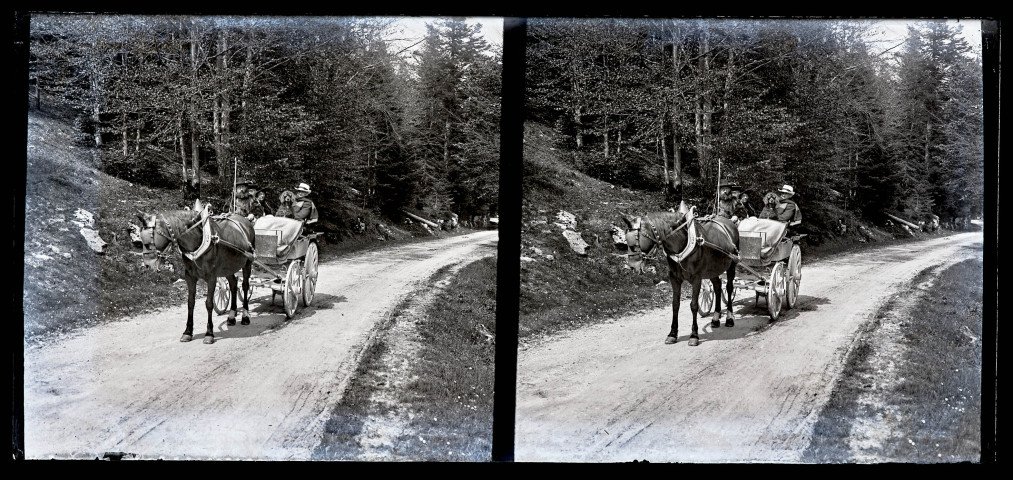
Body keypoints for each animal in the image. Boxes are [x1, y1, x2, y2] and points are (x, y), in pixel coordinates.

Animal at [136, 200, 257, 342]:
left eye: (148, 243)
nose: (147, 265)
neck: (197, 241)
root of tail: (245, 220)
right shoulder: (190, 277)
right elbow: (190, 303)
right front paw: (188, 331)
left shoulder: (212, 277)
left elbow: (209, 303)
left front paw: (209, 333)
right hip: (228, 267)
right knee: (233, 285)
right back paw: (232, 316)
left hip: (248, 263)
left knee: (245, 286)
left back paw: (245, 316)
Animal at [619, 201, 741, 344]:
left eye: (633, 245)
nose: (632, 267)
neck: (682, 243)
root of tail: (730, 222)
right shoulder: (674, 278)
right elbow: (675, 304)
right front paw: (672, 333)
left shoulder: (697, 279)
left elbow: (694, 305)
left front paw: (694, 335)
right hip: (713, 269)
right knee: (717, 286)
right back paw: (716, 318)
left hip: (732, 265)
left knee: (729, 288)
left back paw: (729, 318)